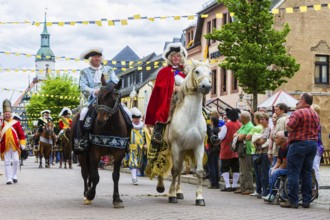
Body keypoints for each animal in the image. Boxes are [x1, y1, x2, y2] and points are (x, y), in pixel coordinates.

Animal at [71, 79, 130, 208]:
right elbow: (95, 177)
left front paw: (117, 199)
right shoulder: (95, 154)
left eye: (113, 99)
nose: (100, 120)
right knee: (85, 173)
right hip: (82, 155)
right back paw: (86, 194)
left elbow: (115, 176)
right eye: (99, 97)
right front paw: (90, 194)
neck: (110, 127)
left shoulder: (118, 154)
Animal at [159, 58, 211, 206]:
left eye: (210, 72)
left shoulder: (198, 146)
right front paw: (171, 195)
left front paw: (199, 197)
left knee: (181, 170)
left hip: (183, 151)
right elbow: (174, 170)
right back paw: (162, 187)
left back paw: (179, 191)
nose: (206, 86)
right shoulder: (176, 146)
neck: (190, 117)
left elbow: (199, 171)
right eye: (197, 71)